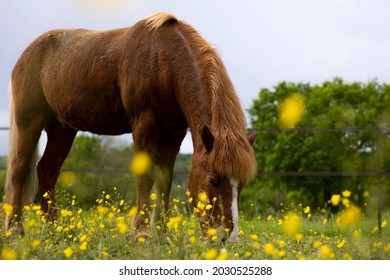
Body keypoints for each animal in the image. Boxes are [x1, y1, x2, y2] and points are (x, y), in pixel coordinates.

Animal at [6, 12, 258, 242]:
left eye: (242, 184)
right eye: (213, 180)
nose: (227, 238)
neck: (165, 60)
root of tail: (27, 53)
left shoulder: (174, 133)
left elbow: (164, 181)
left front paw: (161, 234)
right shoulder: (144, 125)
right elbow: (145, 177)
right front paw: (142, 233)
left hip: (62, 129)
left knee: (47, 170)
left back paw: (53, 229)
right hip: (29, 120)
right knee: (20, 169)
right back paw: (16, 229)